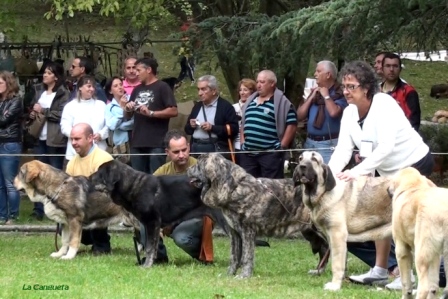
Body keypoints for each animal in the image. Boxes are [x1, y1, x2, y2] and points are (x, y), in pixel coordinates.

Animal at [89, 161, 226, 268]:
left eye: (99, 173)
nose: (88, 177)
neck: (133, 186)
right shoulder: (148, 225)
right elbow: (152, 246)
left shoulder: (152, 222)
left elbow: (149, 247)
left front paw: (146, 266)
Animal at [187, 154, 328, 280]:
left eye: (198, 164)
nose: (188, 169)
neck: (235, 187)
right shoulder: (234, 233)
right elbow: (234, 256)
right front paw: (229, 274)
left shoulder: (247, 231)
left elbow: (246, 256)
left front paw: (244, 276)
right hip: (311, 232)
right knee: (324, 250)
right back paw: (318, 272)